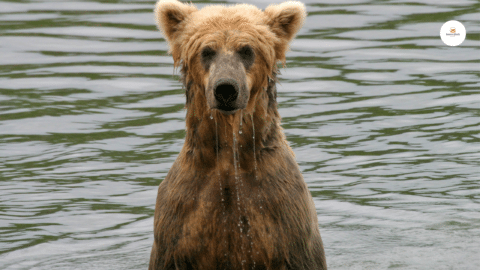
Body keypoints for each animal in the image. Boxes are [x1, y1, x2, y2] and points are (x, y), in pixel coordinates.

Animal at [149, 1, 326, 268]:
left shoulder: (283, 218)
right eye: (207, 51)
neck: (229, 158)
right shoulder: (179, 223)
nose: (225, 89)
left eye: (246, 50)